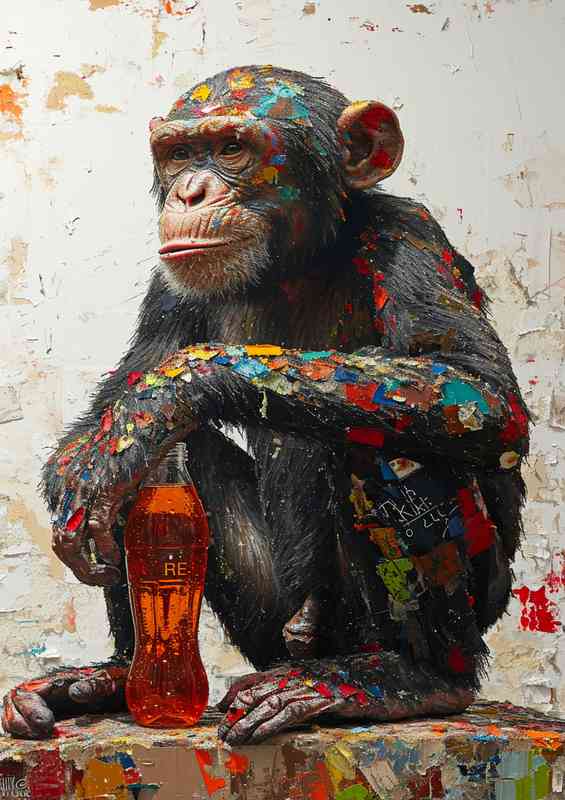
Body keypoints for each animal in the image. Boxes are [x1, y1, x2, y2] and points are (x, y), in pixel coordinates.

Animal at [2, 65, 528, 745]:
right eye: (180, 153)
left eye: (231, 149)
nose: (190, 193)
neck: (294, 265)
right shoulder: (167, 289)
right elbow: (107, 414)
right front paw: (94, 460)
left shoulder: (411, 235)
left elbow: (476, 388)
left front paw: (171, 390)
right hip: (266, 624)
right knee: (179, 458)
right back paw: (112, 677)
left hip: (419, 622)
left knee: (388, 443)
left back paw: (407, 679)